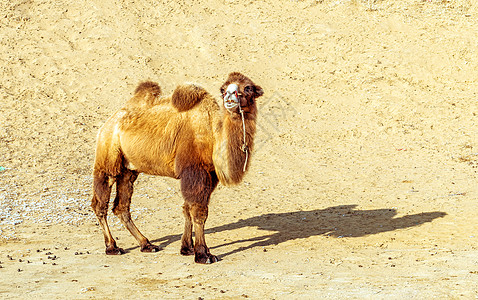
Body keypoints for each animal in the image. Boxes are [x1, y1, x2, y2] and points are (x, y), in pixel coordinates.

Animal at [91, 72, 264, 262]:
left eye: (248, 87)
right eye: (224, 89)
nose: (230, 95)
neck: (212, 136)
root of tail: (109, 122)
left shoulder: (209, 176)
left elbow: (187, 209)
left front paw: (187, 248)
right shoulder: (194, 172)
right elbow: (198, 212)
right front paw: (203, 254)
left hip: (129, 170)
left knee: (121, 206)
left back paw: (147, 244)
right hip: (108, 154)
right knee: (100, 202)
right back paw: (112, 247)